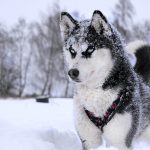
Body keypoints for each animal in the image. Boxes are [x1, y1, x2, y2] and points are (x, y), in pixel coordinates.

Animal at [59, 10, 150, 150]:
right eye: (72, 51)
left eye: (90, 49)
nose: (72, 72)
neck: (96, 92)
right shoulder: (89, 141)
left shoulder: (119, 141)